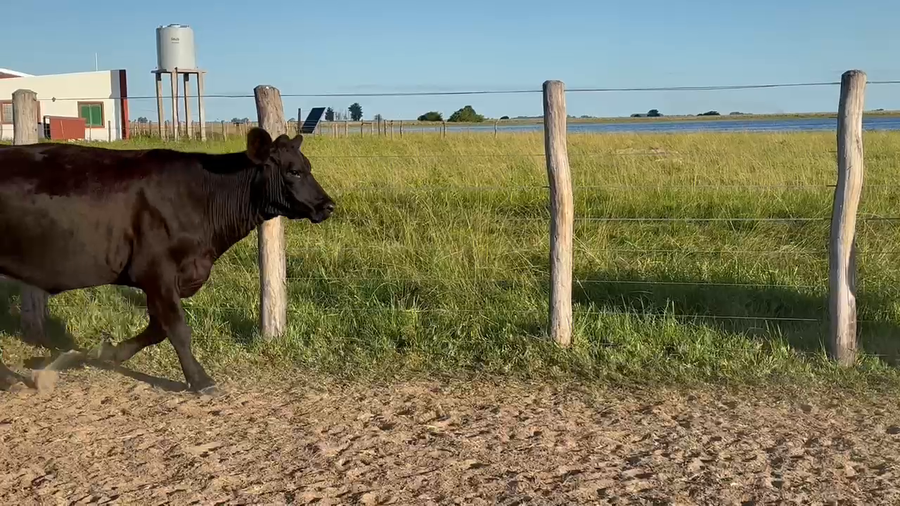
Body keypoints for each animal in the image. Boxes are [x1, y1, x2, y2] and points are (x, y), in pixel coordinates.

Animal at [0, 127, 335, 395]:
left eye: (307, 167)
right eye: (293, 171)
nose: (328, 205)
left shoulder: (166, 278)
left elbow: (158, 327)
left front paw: (109, 353)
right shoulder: (156, 270)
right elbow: (177, 328)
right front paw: (200, 380)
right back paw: (9, 380)